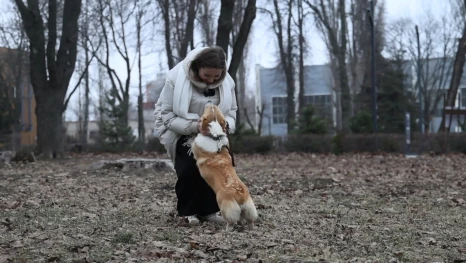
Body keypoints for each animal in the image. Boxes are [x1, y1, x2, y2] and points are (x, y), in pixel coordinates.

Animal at [191, 103, 260, 231]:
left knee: (231, 221)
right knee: (249, 220)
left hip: (225, 206)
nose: (210, 102)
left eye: (208, 109)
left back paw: (227, 229)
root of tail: (240, 195)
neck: (215, 135)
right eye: (215, 107)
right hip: (249, 208)